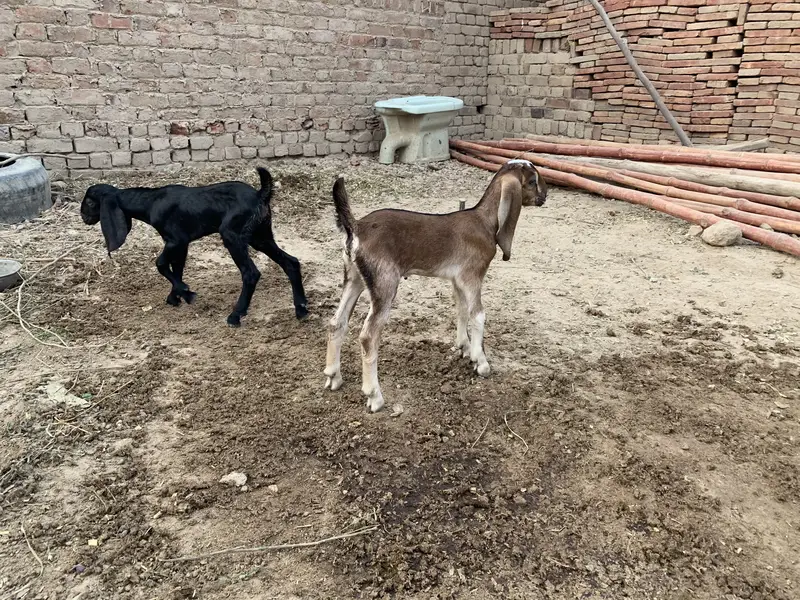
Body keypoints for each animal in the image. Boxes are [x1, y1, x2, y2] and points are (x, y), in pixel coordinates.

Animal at [80, 167, 308, 327]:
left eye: (90, 203)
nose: (83, 217)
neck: (150, 201)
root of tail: (260, 195)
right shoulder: (182, 244)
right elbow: (177, 267)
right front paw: (176, 297)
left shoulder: (176, 239)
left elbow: (160, 264)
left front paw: (187, 293)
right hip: (260, 236)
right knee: (290, 262)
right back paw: (301, 309)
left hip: (232, 235)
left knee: (251, 273)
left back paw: (235, 315)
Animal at [323, 159, 548, 412]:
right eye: (532, 181)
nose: (545, 196)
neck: (484, 222)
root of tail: (355, 228)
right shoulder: (473, 275)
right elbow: (478, 315)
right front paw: (481, 362)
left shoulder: (458, 280)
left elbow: (462, 311)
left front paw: (464, 347)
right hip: (384, 282)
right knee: (368, 337)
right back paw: (374, 396)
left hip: (355, 279)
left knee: (336, 322)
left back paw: (333, 376)